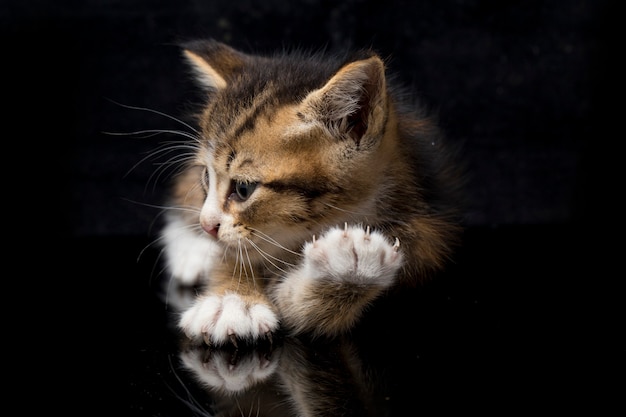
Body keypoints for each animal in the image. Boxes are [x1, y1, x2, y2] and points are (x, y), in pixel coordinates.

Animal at [160, 38, 464, 344]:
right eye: (206, 176)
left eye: (244, 188)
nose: (206, 225)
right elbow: (236, 252)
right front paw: (231, 300)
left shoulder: (424, 240)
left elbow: (298, 309)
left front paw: (351, 270)